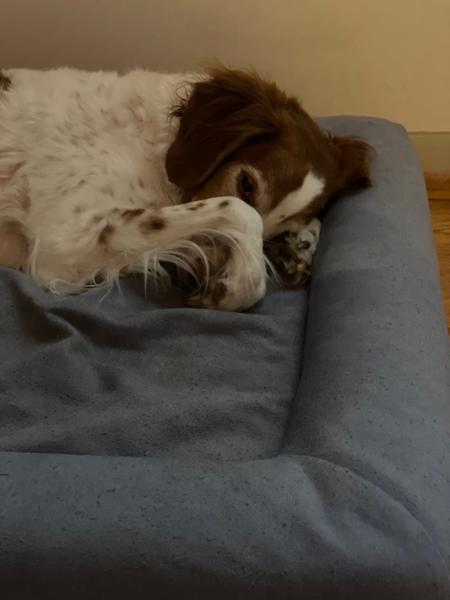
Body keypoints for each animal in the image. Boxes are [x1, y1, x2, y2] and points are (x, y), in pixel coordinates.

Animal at [0, 66, 372, 310]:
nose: (197, 281)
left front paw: (297, 247)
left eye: (280, 229)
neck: (152, 142)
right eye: (246, 184)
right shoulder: (65, 239)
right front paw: (241, 284)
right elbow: (239, 212)